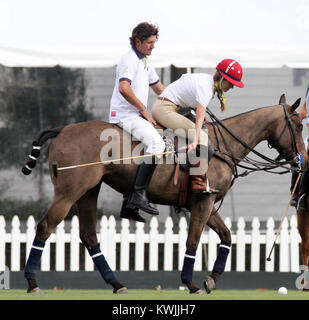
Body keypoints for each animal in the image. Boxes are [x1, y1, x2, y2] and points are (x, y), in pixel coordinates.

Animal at [22, 94, 306, 294]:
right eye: (299, 125)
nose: (303, 159)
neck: (222, 145)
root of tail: (61, 130)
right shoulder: (203, 201)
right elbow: (193, 241)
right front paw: (190, 284)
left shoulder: (205, 202)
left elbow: (226, 236)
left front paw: (211, 279)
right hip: (69, 191)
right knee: (45, 226)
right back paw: (32, 282)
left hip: (89, 191)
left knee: (89, 236)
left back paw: (117, 284)